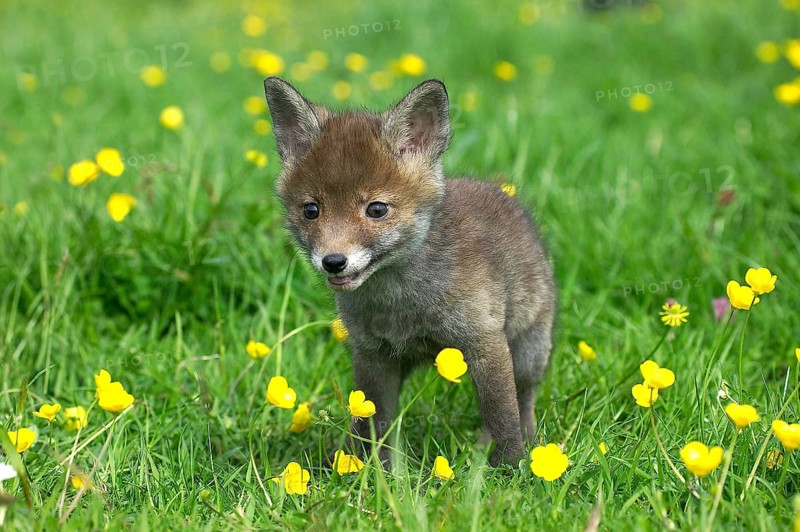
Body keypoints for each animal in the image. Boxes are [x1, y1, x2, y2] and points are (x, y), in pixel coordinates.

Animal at [263, 77, 556, 466]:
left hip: (527, 355)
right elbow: (372, 422)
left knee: (523, 402)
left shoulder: (484, 344)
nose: (333, 261)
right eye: (311, 210)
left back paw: (524, 447)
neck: (401, 305)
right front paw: (365, 469)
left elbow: (502, 417)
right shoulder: (372, 354)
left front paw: (510, 470)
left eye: (376, 209)